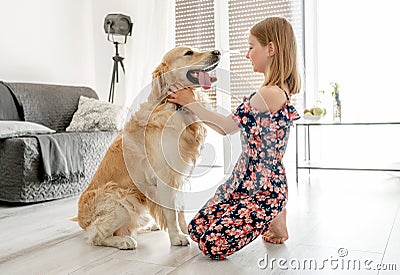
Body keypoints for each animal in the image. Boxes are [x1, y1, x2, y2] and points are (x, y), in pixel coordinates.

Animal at [76, 47, 220, 250]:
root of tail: (81, 220)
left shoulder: (178, 175)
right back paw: (123, 241)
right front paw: (177, 237)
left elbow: (180, 208)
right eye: (189, 53)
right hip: (123, 199)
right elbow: (171, 212)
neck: (174, 106)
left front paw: (186, 230)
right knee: (96, 235)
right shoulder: (164, 177)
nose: (217, 52)